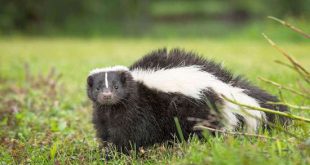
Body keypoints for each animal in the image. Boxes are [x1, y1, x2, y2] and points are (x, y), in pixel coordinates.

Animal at [86, 48, 290, 153]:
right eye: (98, 88)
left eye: (116, 87)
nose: (106, 96)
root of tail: (227, 86)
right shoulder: (104, 114)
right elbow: (105, 130)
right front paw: (105, 149)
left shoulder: (138, 108)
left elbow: (130, 133)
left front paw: (116, 152)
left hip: (200, 109)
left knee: (204, 130)